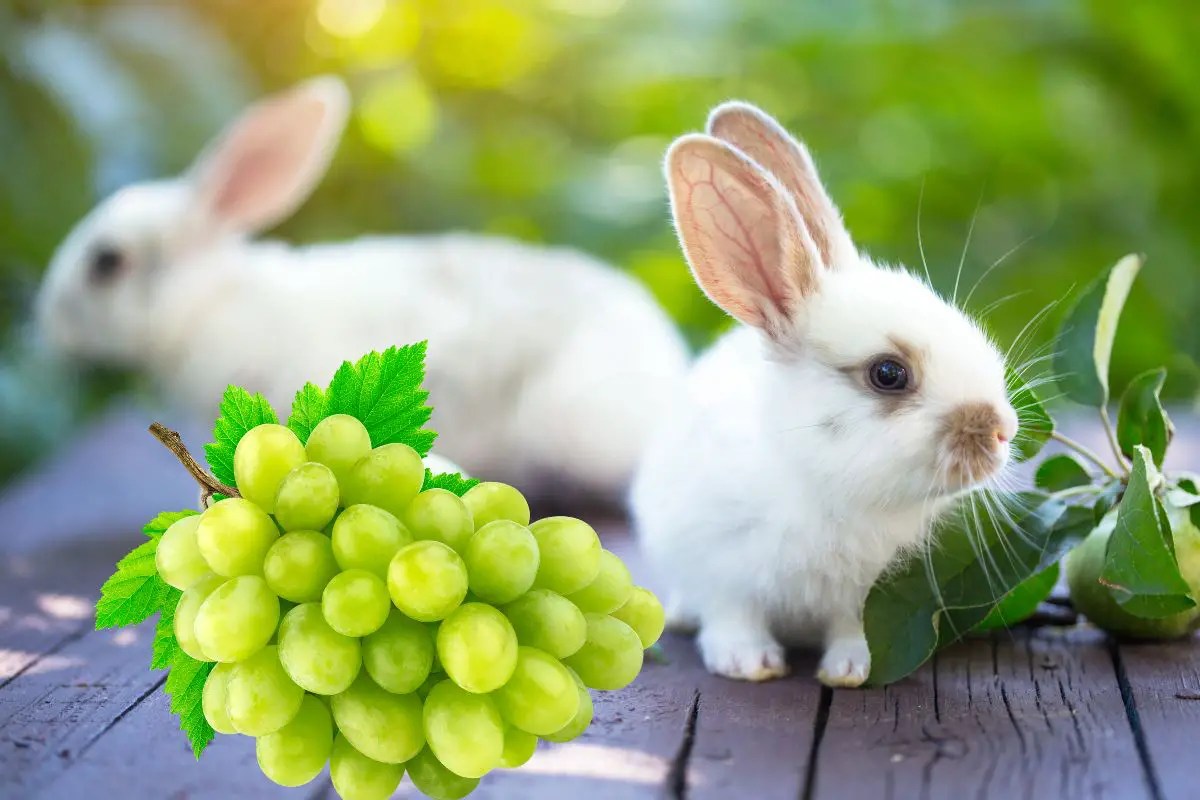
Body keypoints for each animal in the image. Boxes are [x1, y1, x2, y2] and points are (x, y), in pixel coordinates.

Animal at [630, 102, 1018, 687]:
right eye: (888, 373)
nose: (1002, 430)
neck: (825, 486)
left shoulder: (865, 594)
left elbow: (850, 629)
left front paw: (851, 670)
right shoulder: (717, 564)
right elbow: (734, 616)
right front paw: (748, 664)